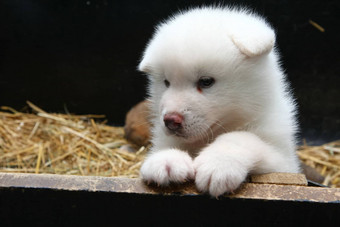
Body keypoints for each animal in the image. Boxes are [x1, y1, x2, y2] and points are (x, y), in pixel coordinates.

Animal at [137, 6, 298, 196]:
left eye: (206, 81)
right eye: (166, 82)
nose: (170, 121)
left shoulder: (283, 162)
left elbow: (243, 137)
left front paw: (218, 164)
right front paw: (166, 159)